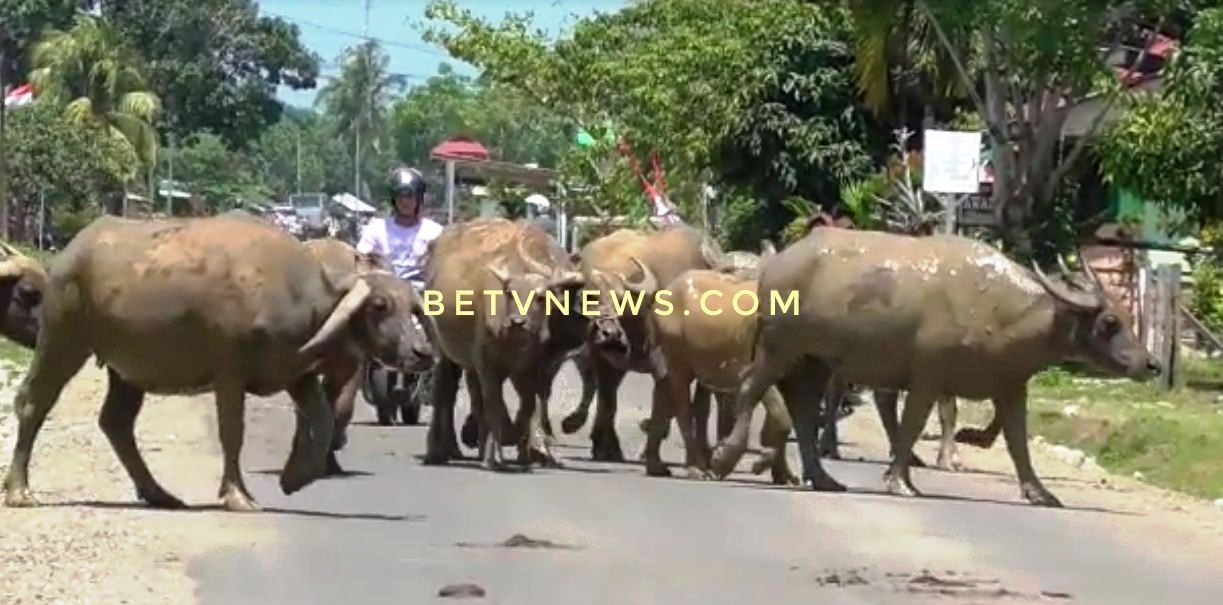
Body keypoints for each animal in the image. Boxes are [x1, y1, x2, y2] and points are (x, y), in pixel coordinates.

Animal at [1, 215, 435, 513]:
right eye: (380, 305)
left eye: (413, 307)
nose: (422, 352)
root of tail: (74, 248)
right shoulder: (230, 375)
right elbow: (233, 433)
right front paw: (237, 495)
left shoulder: (296, 373)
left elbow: (324, 421)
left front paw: (294, 477)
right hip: (62, 341)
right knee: (32, 402)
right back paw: (19, 490)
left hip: (127, 369)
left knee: (116, 423)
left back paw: (158, 493)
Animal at [423, 217, 584, 469]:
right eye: (509, 293)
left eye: (541, 297)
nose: (517, 322)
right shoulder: (488, 366)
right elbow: (496, 407)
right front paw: (509, 442)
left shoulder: (533, 368)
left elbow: (529, 406)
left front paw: (532, 449)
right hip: (443, 350)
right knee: (444, 392)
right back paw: (439, 450)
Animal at [709, 229, 1154, 508]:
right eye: (1109, 322)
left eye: (1126, 316)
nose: (1148, 362)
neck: (1001, 309)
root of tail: (773, 266)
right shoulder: (926, 377)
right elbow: (911, 426)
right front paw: (900, 482)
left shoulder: (1010, 386)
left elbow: (1017, 442)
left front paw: (1040, 493)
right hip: (779, 347)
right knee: (750, 387)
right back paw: (724, 457)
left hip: (816, 361)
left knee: (803, 410)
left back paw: (822, 477)